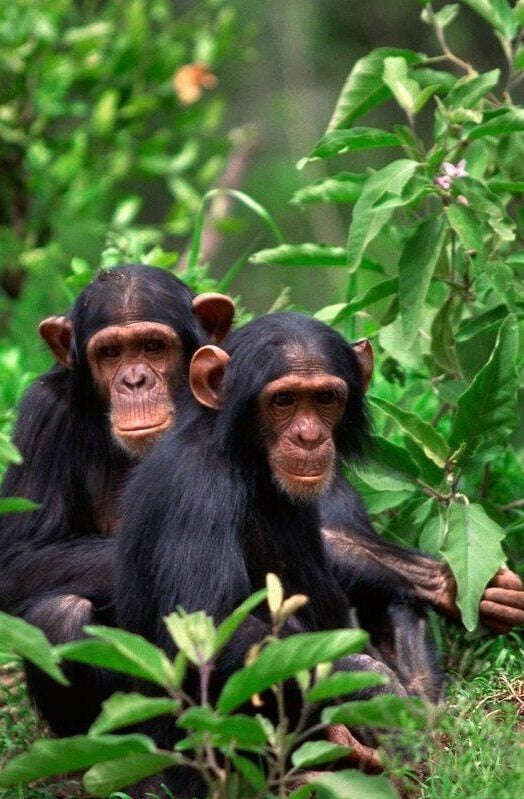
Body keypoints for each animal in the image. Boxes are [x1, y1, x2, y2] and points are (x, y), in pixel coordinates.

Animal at [0, 264, 234, 736]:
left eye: (153, 346)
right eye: (110, 353)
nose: (134, 381)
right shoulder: (40, 416)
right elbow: (18, 557)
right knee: (59, 616)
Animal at [113, 312, 438, 799]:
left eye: (324, 398)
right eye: (282, 400)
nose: (309, 436)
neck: (245, 458)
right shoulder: (199, 492)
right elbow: (205, 627)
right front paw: (375, 690)